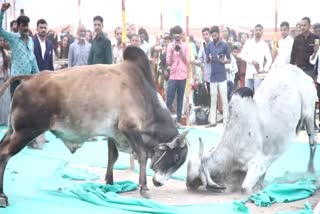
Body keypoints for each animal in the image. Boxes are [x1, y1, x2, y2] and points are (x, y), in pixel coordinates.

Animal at [0, 45, 189, 207]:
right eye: (176, 158)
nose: (159, 182)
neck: (145, 96)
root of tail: (29, 78)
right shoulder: (129, 128)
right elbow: (142, 155)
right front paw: (144, 188)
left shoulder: (114, 132)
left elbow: (112, 157)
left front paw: (109, 183)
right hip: (26, 131)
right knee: (4, 155)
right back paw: (3, 197)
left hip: (12, 130)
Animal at [186, 64, 316, 193]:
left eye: (197, 178)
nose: (187, 184)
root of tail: (304, 74)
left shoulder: (258, 164)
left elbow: (245, 188)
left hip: (309, 114)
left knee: (313, 144)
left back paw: (310, 175)